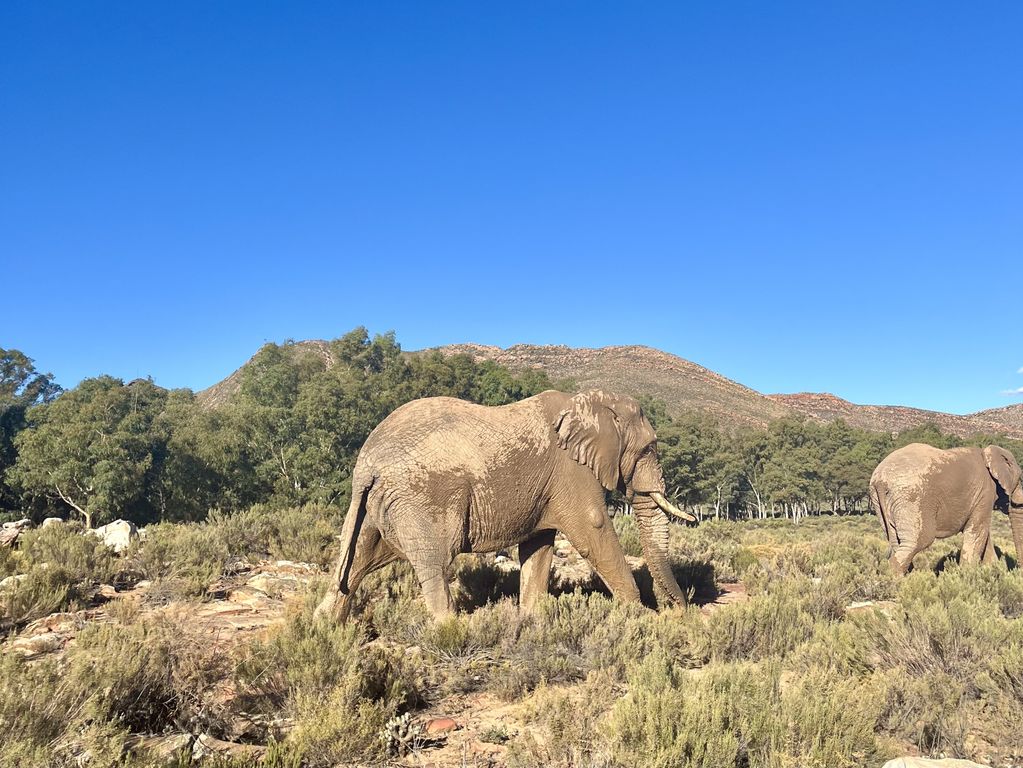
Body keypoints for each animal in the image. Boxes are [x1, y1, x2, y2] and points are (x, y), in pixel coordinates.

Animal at [871, 441, 1023, 572]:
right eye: (1020, 478)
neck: (987, 452)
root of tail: (880, 480)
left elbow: (984, 535)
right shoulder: (985, 491)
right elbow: (978, 531)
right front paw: (968, 575)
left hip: (882, 501)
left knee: (896, 542)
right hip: (912, 499)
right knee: (917, 542)